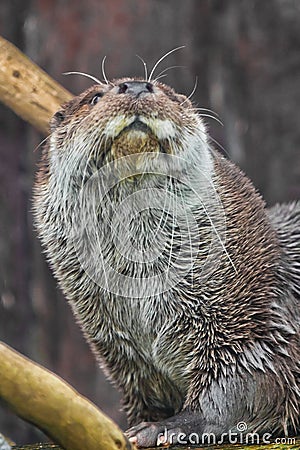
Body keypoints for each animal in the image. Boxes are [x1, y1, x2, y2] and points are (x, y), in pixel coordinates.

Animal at [32, 74, 300, 446]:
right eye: (94, 98)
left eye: (168, 93)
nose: (135, 86)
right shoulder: (120, 350)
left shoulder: (253, 323)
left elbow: (248, 386)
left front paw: (164, 428)